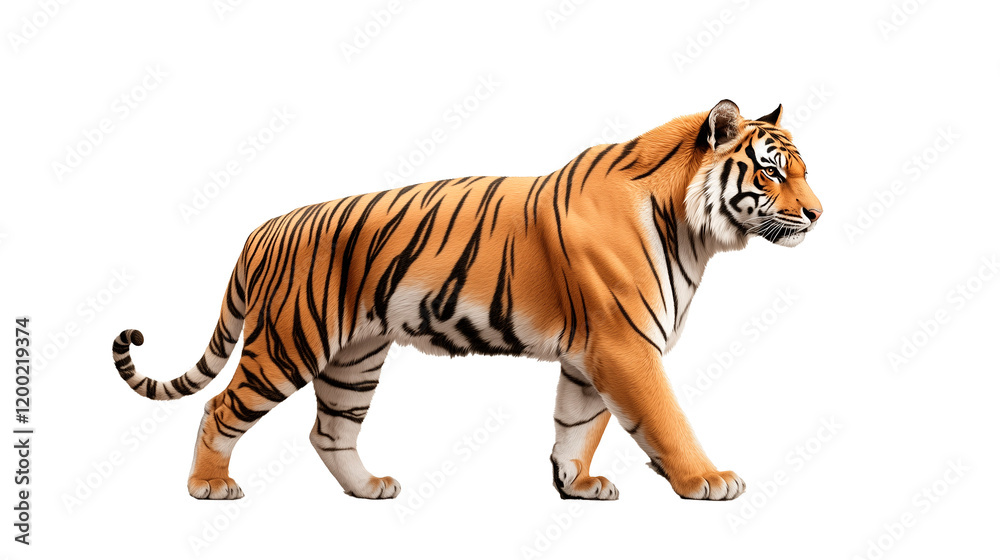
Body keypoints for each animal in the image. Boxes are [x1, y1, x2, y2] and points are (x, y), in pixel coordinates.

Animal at [112, 99, 822, 502]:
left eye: (804, 169)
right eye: (771, 170)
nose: (817, 213)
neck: (693, 232)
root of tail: (267, 226)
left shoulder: (592, 353)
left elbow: (578, 424)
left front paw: (576, 484)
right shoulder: (625, 346)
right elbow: (665, 419)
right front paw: (708, 479)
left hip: (355, 358)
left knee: (329, 430)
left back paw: (368, 490)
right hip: (289, 343)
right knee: (219, 408)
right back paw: (209, 486)